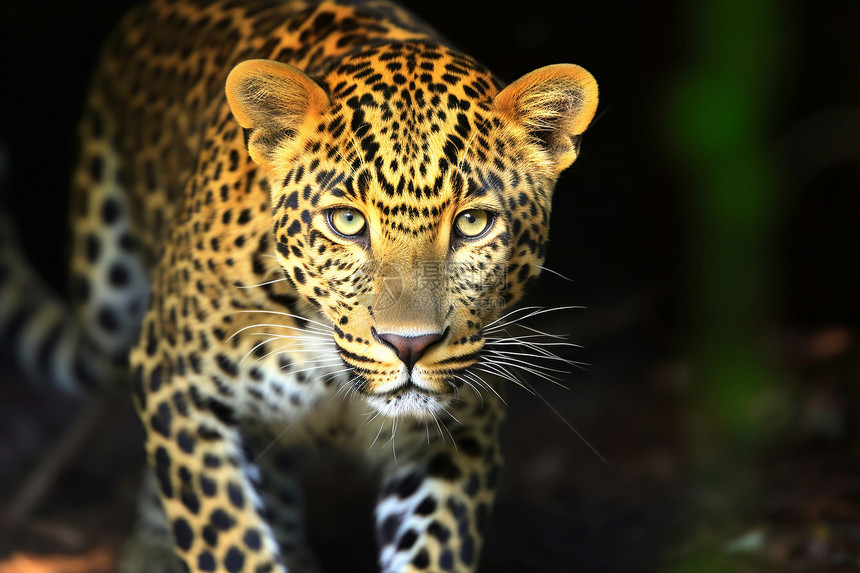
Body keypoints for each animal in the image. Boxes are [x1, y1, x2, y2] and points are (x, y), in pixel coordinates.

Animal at [0, 1, 596, 572]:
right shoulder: (176, 382)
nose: (410, 346)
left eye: (473, 223)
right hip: (108, 310)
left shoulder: (466, 425)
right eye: (347, 222)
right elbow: (227, 540)